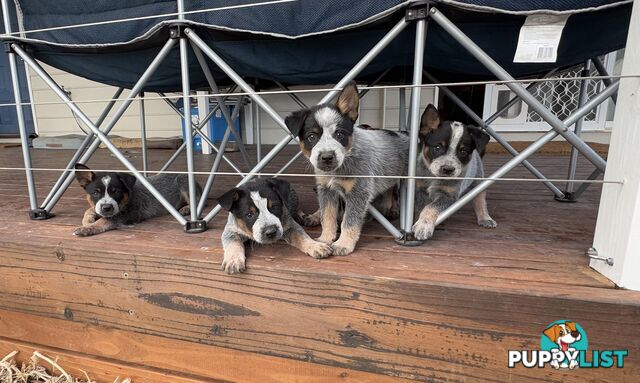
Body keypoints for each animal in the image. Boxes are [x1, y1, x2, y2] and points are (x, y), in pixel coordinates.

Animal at [284, 81, 410, 256]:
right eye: (312, 137)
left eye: (339, 134)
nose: (327, 157)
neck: (337, 170)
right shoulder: (326, 190)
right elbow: (327, 217)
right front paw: (324, 240)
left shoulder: (358, 192)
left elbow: (349, 221)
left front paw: (343, 244)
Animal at [412, 105, 498, 242]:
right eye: (437, 147)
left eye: (463, 151)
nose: (448, 169)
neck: (432, 177)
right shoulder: (419, 190)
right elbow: (420, 208)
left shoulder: (448, 195)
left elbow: (431, 207)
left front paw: (423, 226)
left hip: (478, 180)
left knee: (480, 199)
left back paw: (485, 218)